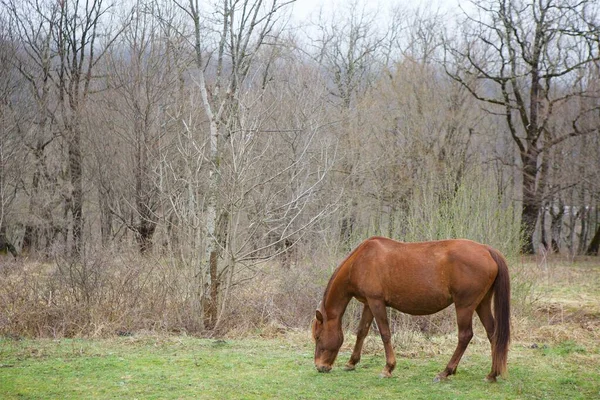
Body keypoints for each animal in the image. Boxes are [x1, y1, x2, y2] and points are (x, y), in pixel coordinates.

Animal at [312, 236, 512, 382]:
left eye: (318, 337)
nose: (320, 367)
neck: (361, 261)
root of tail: (487, 250)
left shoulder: (376, 302)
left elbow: (385, 333)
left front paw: (388, 368)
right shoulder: (369, 303)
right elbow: (362, 331)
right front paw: (351, 363)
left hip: (465, 305)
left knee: (465, 336)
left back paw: (445, 372)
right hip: (482, 303)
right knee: (492, 333)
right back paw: (492, 374)